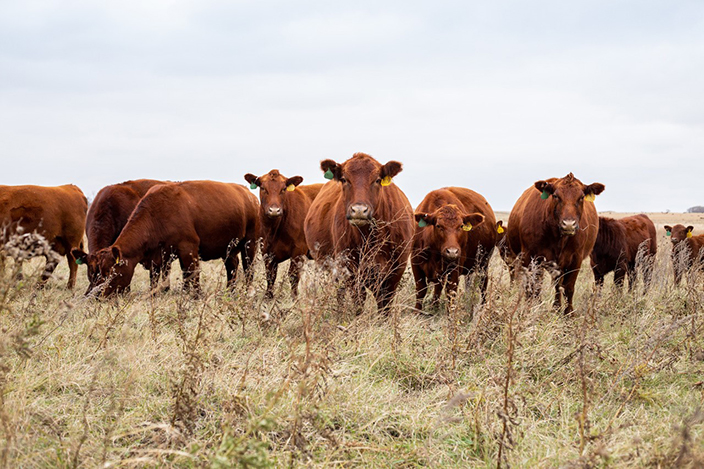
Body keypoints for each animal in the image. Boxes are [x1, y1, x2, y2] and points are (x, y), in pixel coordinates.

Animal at [91, 180, 258, 296]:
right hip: (228, 248)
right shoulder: (161, 256)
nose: (100, 295)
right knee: (232, 266)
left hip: (250, 243)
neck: (157, 213)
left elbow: (192, 276)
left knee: (248, 269)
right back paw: (230, 291)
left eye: (111, 272)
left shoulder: (189, 248)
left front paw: (195, 296)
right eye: (100, 271)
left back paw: (247, 292)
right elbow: (159, 279)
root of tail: (247, 194)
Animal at [243, 170, 324, 298]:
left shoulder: (299, 250)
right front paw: (268, 297)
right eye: (263, 188)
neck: (273, 230)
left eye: (284, 189)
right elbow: (270, 276)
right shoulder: (266, 251)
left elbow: (293, 276)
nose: (274, 210)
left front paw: (294, 298)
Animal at [306, 151, 416, 310]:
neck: (371, 238)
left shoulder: (395, 273)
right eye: (344, 179)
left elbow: (385, 306)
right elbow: (358, 303)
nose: (359, 210)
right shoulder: (350, 270)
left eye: (377, 180)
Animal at [506, 173, 604, 314]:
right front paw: (531, 309)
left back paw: (556, 308)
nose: (569, 224)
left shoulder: (576, 259)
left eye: (581, 197)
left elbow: (568, 288)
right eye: (556, 196)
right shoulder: (530, 257)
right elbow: (533, 287)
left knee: (558, 286)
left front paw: (568, 313)